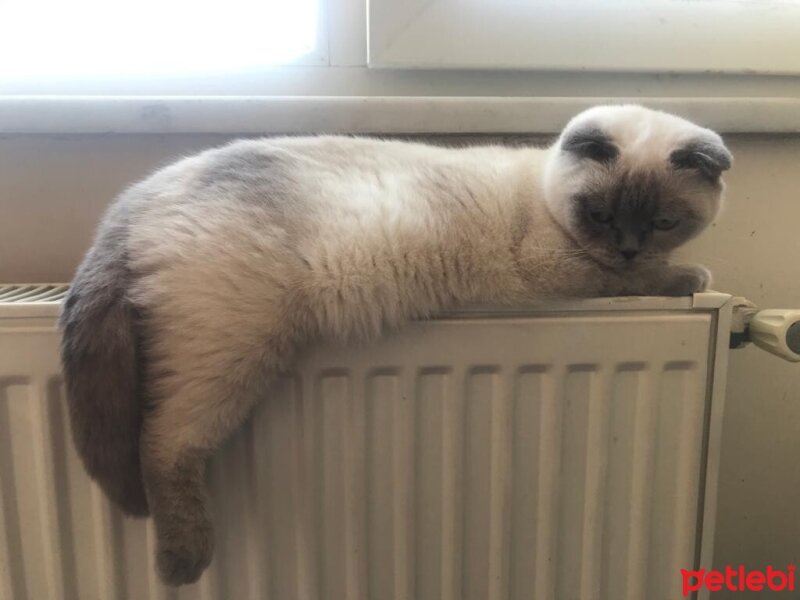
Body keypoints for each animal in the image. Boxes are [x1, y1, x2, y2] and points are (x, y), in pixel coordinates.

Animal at [57, 104, 732, 584]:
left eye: (664, 221)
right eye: (601, 215)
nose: (630, 246)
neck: (542, 195)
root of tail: (137, 198)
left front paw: (677, 269)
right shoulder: (563, 270)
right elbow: (632, 280)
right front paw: (690, 277)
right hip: (232, 346)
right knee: (162, 443)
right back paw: (183, 562)